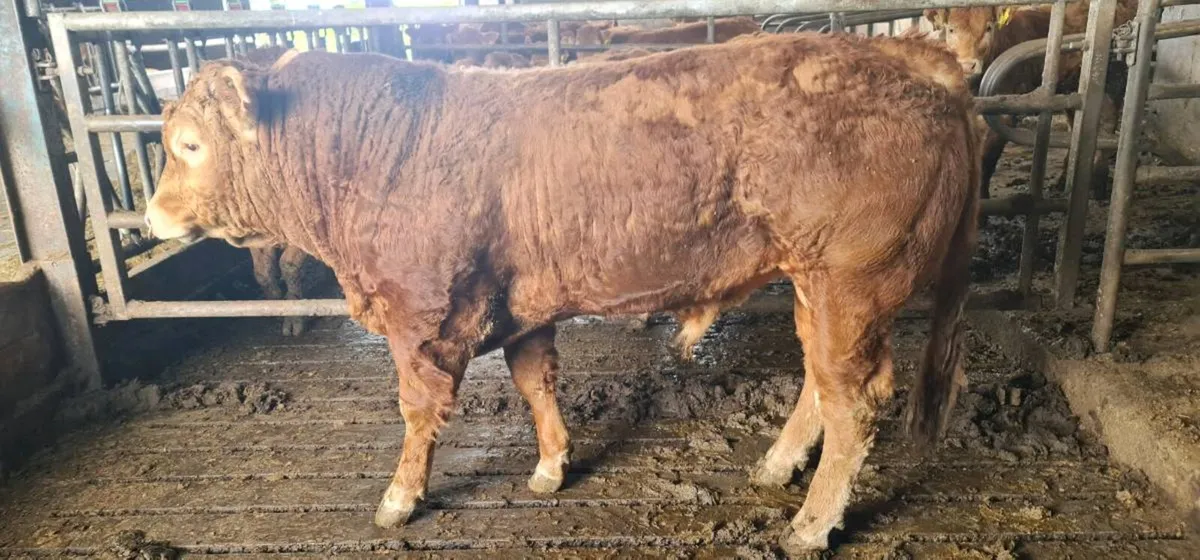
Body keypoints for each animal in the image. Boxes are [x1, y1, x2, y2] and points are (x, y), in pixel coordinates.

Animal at [144, 34, 980, 554]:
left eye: (189, 144)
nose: (151, 216)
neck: (381, 147)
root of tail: (916, 59)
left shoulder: (426, 315)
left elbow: (418, 411)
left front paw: (399, 498)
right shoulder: (519, 304)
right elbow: (535, 381)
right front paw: (551, 466)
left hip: (852, 284)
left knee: (855, 403)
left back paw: (811, 524)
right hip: (816, 288)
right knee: (820, 384)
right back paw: (776, 468)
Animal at [923, 2, 1135, 199]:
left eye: (988, 28)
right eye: (951, 29)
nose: (968, 65)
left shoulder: (1003, 114)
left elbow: (988, 157)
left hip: (1114, 79)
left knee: (1108, 125)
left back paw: (1099, 184)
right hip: (1072, 86)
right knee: (1075, 125)